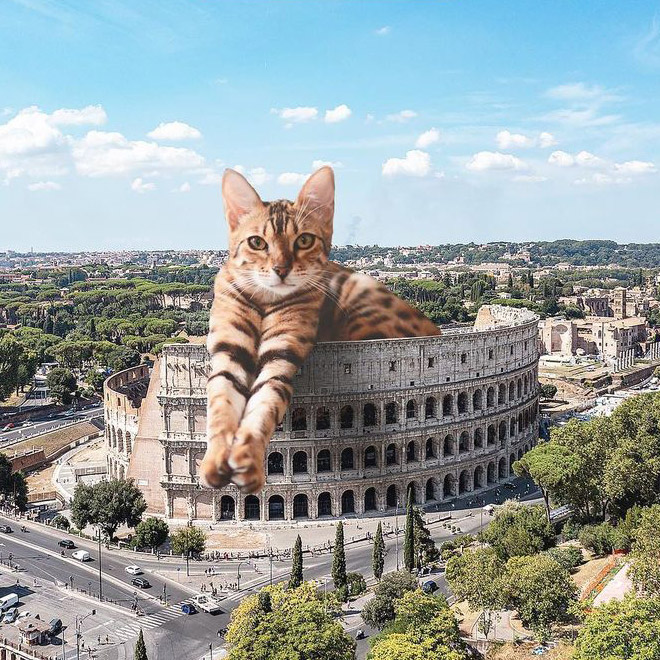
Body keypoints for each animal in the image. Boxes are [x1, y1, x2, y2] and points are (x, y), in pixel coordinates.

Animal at [200, 168, 438, 492]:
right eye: (257, 243)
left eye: (304, 240)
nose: (280, 269)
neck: (265, 298)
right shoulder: (228, 352)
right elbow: (221, 403)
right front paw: (214, 461)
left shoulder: (280, 354)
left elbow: (265, 402)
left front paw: (247, 457)